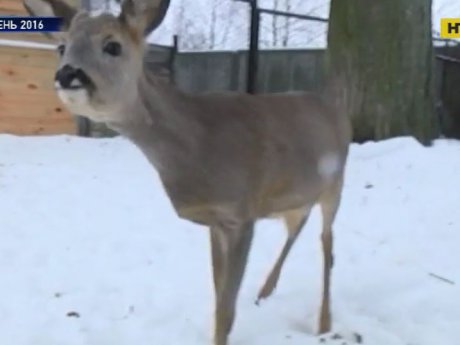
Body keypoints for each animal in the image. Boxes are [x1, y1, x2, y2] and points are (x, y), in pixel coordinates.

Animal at [22, 1, 352, 342]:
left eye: (113, 45)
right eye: (62, 47)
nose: (67, 73)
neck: (199, 146)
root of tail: (336, 108)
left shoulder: (241, 213)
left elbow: (226, 307)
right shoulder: (216, 221)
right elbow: (218, 295)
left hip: (336, 183)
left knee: (327, 242)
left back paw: (323, 323)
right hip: (295, 196)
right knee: (298, 226)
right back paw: (265, 291)